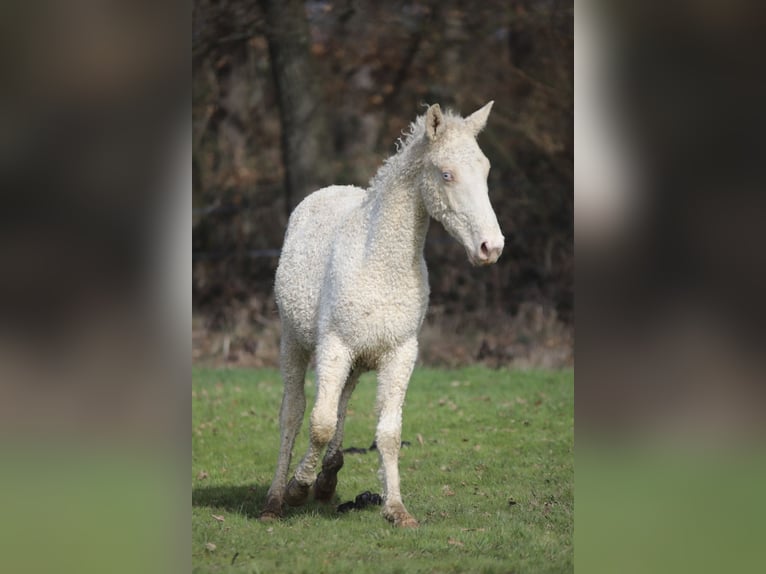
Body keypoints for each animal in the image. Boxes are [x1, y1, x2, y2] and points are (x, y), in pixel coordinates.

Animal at [259, 102, 504, 527]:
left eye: (485, 169)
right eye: (446, 174)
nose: (492, 247)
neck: (378, 262)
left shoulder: (400, 353)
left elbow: (387, 433)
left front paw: (396, 509)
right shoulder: (334, 345)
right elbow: (319, 424)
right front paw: (297, 489)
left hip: (356, 360)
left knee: (341, 403)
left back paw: (328, 479)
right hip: (296, 344)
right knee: (293, 413)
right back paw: (277, 498)